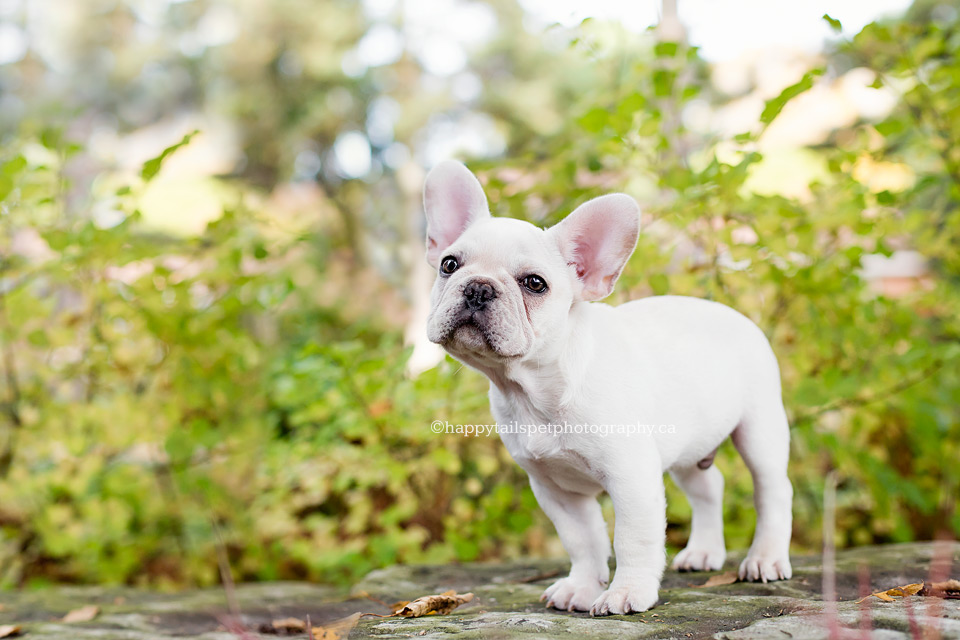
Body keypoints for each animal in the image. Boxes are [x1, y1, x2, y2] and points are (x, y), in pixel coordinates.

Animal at [424, 160, 792, 616]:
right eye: (449, 264)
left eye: (534, 283)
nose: (478, 287)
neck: (535, 390)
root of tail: (736, 316)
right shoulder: (556, 490)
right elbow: (582, 540)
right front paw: (581, 588)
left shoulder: (632, 478)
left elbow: (632, 539)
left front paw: (625, 593)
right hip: (688, 444)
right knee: (708, 487)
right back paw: (704, 552)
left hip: (760, 430)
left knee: (773, 490)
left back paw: (766, 558)